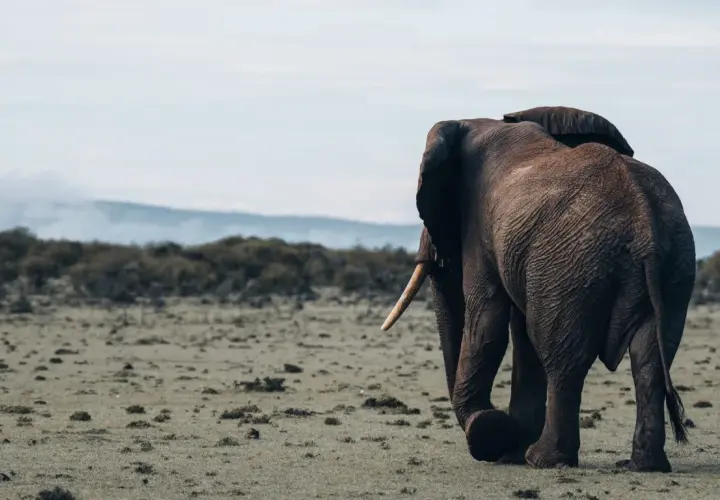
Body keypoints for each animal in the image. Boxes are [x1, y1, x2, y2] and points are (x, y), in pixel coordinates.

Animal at [380, 106, 695, 472]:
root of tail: (644, 221)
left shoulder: (481, 229)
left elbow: (488, 323)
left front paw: (493, 434)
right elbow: (521, 335)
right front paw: (508, 448)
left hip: (573, 263)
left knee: (563, 357)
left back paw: (544, 460)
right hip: (673, 265)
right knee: (650, 361)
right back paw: (643, 466)